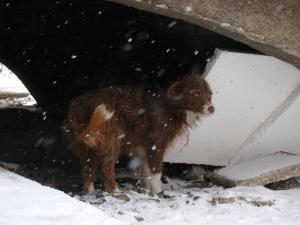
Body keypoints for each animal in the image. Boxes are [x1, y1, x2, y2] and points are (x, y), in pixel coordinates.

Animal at [62, 74, 213, 193]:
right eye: (195, 93)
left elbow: (146, 171)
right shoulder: (156, 145)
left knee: (87, 168)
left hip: (89, 145)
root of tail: (79, 107)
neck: (171, 108)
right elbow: (156, 171)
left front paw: (147, 189)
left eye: (209, 94)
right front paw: (157, 191)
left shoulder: (144, 149)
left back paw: (91, 191)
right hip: (111, 139)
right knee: (106, 166)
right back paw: (115, 190)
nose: (212, 108)